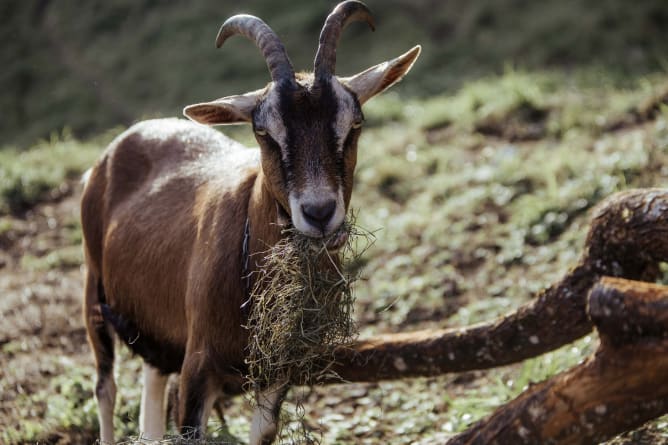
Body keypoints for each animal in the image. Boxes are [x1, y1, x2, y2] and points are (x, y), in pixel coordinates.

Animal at [81, 1, 420, 442]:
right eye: (263, 131)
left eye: (355, 123)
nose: (319, 213)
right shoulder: (198, 370)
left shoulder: (275, 374)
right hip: (94, 293)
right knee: (106, 388)